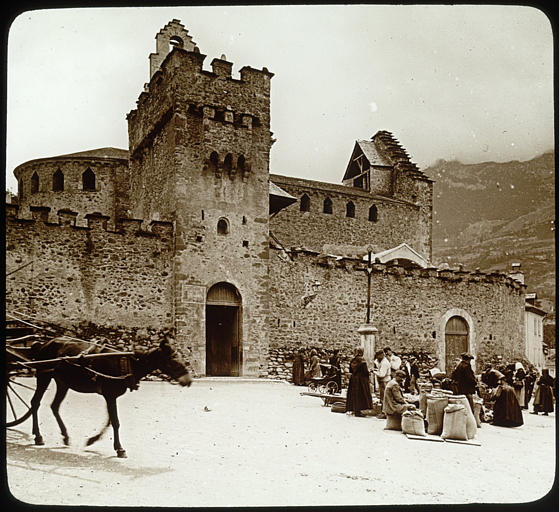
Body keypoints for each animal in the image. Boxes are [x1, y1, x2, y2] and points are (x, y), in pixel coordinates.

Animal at [27, 336, 194, 456]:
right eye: (173, 361)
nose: (189, 381)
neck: (127, 363)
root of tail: (43, 344)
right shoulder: (110, 395)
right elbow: (115, 422)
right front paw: (120, 449)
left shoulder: (110, 396)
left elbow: (109, 421)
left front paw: (92, 440)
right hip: (44, 376)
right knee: (35, 402)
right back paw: (38, 436)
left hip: (63, 382)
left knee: (54, 406)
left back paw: (65, 436)